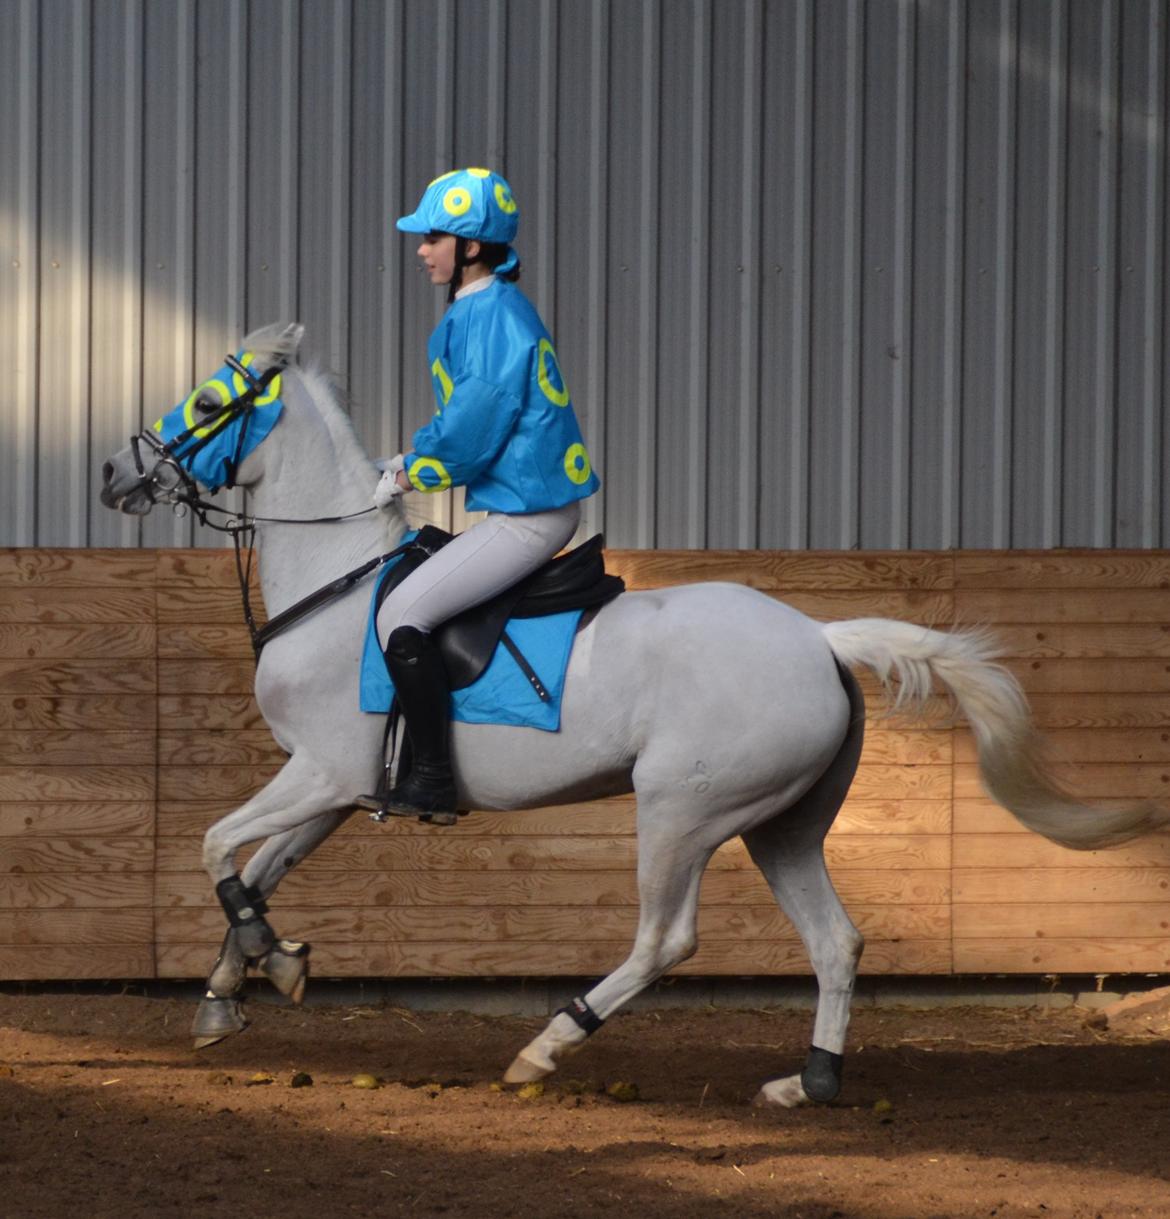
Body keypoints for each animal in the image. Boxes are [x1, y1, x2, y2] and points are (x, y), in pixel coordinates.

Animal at [102, 324, 1170, 1106]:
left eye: (208, 405)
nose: (119, 473)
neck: (337, 581)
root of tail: (819, 637)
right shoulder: (335, 789)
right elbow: (257, 871)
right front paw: (241, 985)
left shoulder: (320, 772)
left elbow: (215, 846)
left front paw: (259, 964)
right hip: (783, 824)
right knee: (836, 941)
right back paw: (809, 1082)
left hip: (681, 812)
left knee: (667, 939)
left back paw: (546, 1046)